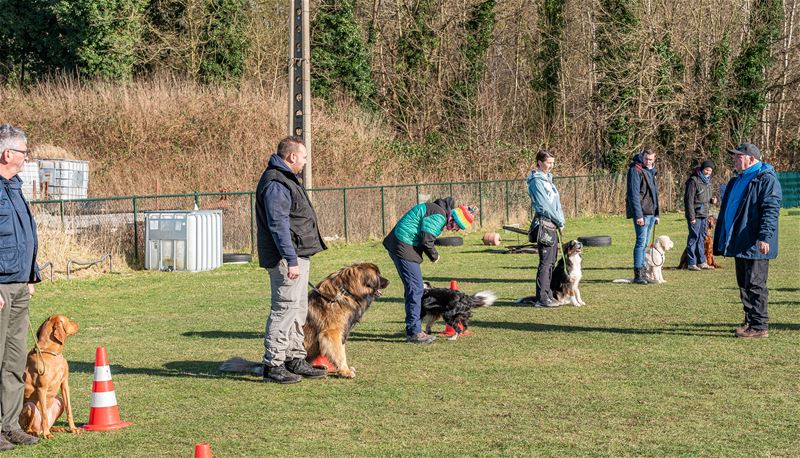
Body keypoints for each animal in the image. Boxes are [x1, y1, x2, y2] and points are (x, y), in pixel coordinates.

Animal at [220, 262, 390, 380]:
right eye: (378, 275)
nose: (388, 281)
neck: (346, 291)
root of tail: (261, 366)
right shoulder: (332, 333)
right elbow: (340, 353)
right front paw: (345, 371)